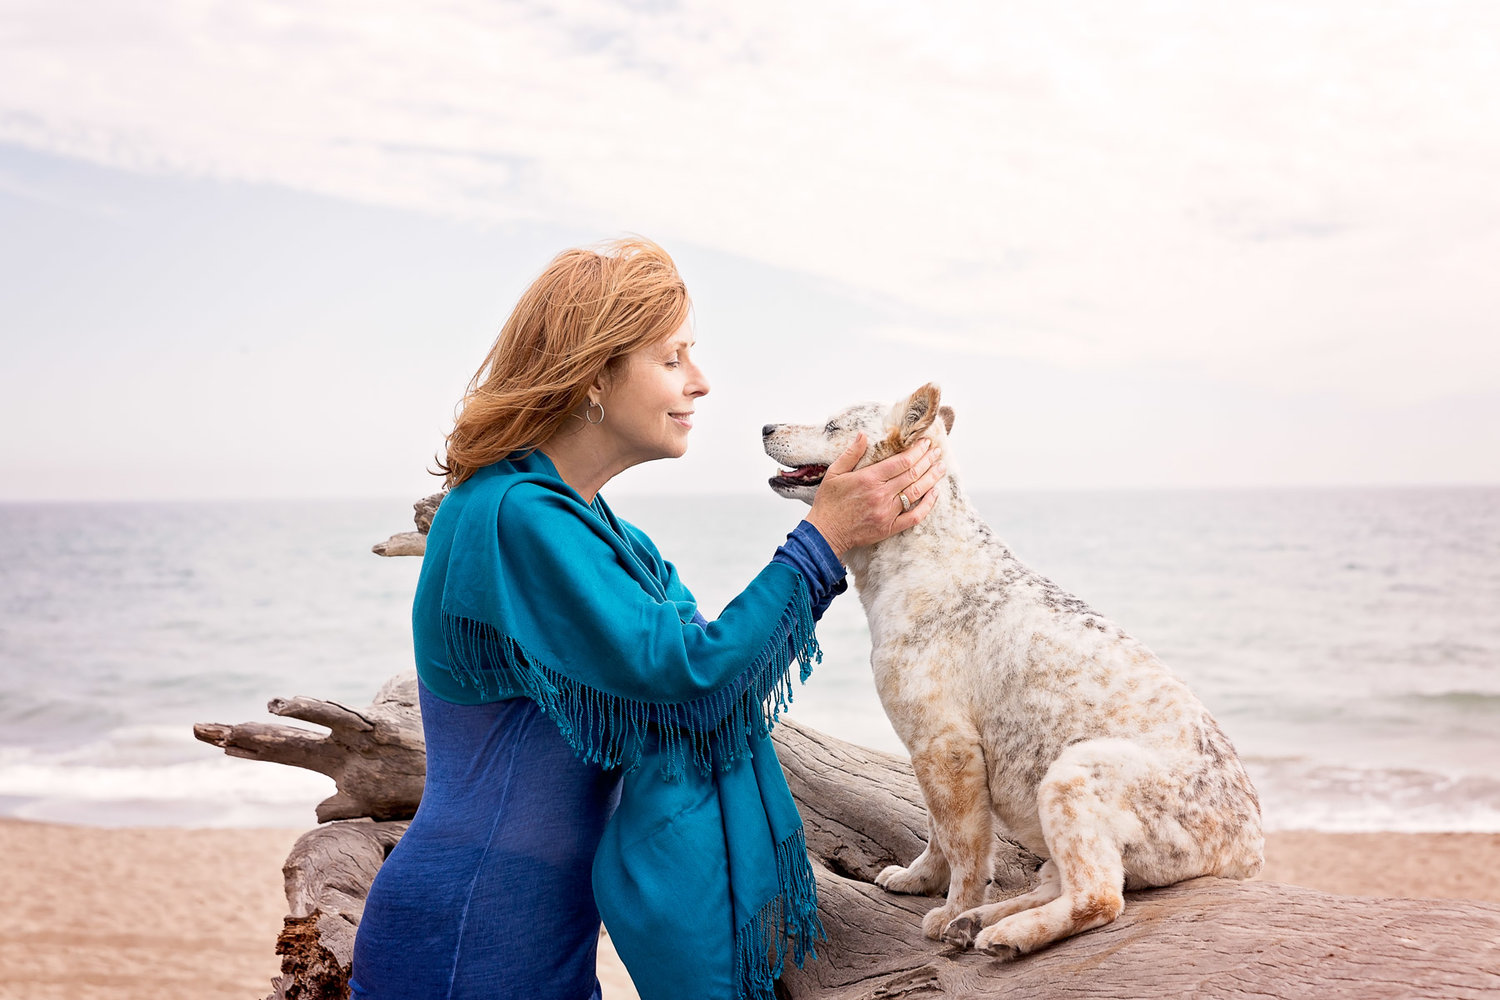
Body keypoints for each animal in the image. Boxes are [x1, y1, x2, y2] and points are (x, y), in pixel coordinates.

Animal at [762, 386, 1266, 959]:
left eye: (832, 425)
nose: (765, 427)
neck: (917, 555)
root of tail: (1251, 849)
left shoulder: (946, 747)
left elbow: (963, 847)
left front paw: (950, 907)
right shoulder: (932, 749)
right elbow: (935, 832)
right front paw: (921, 881)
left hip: (1073, 773)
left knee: (1099, 897)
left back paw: (1004, 932)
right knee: (1063, 882)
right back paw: (980, 921)